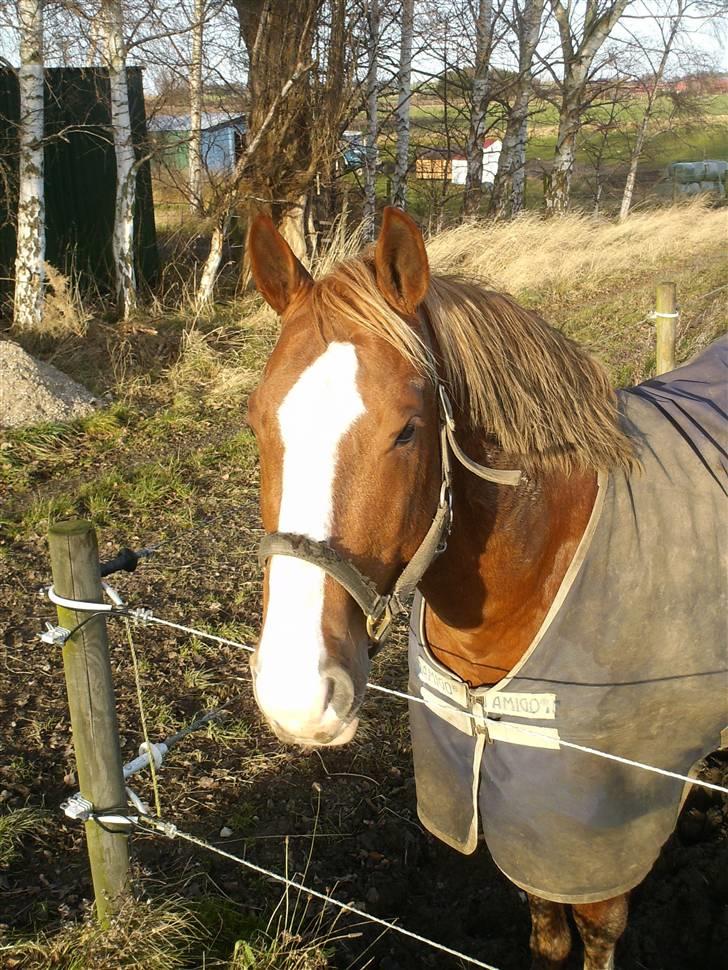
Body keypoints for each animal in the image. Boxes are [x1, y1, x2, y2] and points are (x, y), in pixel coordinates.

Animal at [246, 206, 728, 968]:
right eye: (257, 420)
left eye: (408, 431)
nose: (297, 696)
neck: (543, 566)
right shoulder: (519, 808)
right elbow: (547, 928)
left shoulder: (597, 831)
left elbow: (596, 931)